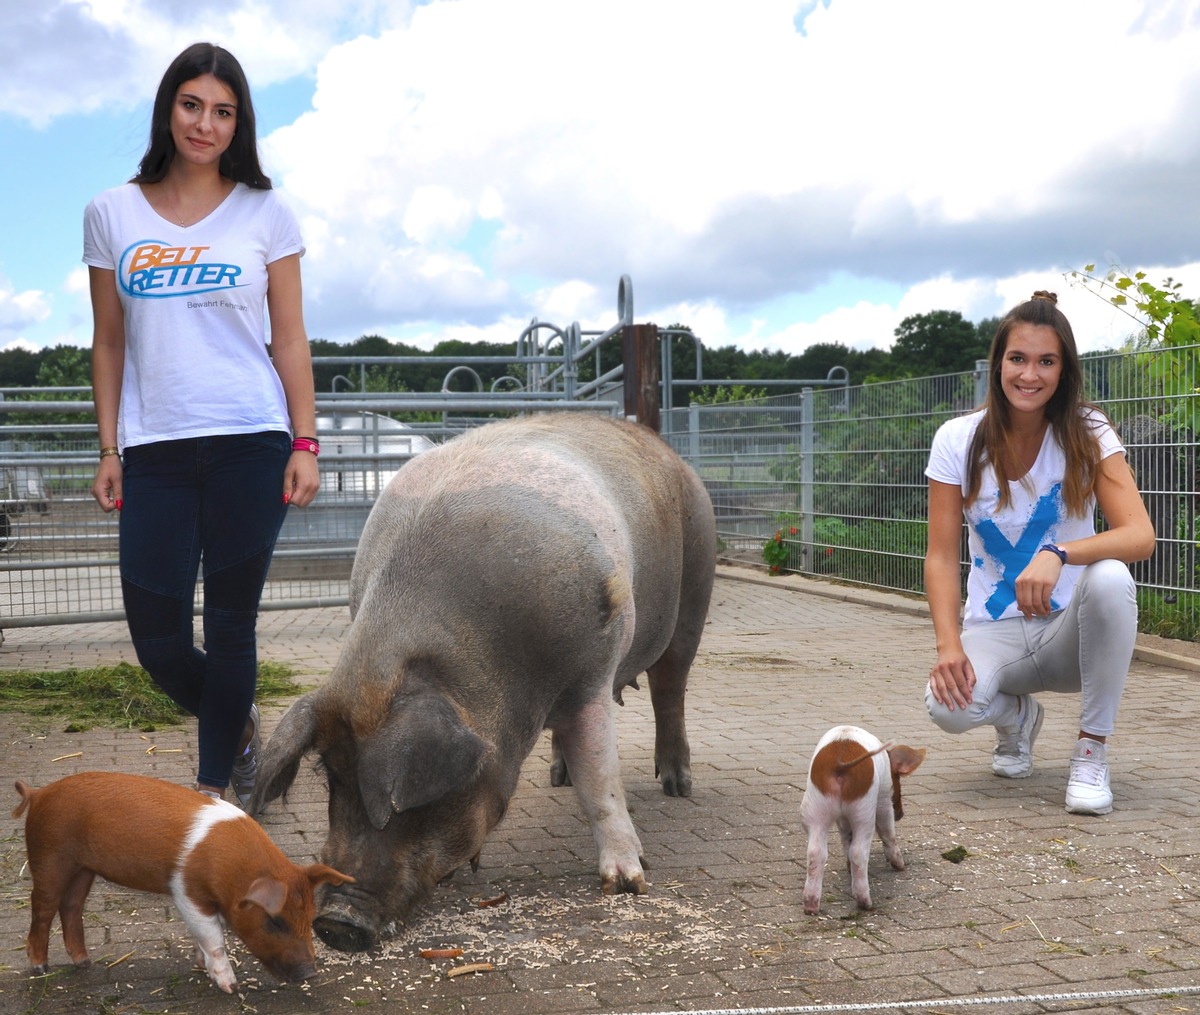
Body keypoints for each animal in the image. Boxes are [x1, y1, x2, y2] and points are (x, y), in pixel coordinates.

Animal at [246, 412, 710, 955]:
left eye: (408, 802)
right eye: (333, 779)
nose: (335, 923)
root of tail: (667, 452)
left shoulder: (592, 673)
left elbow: (601, 781)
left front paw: (628, 884)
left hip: (695, 589)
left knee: (670, 689)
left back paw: (677, 786)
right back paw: (559, 778)